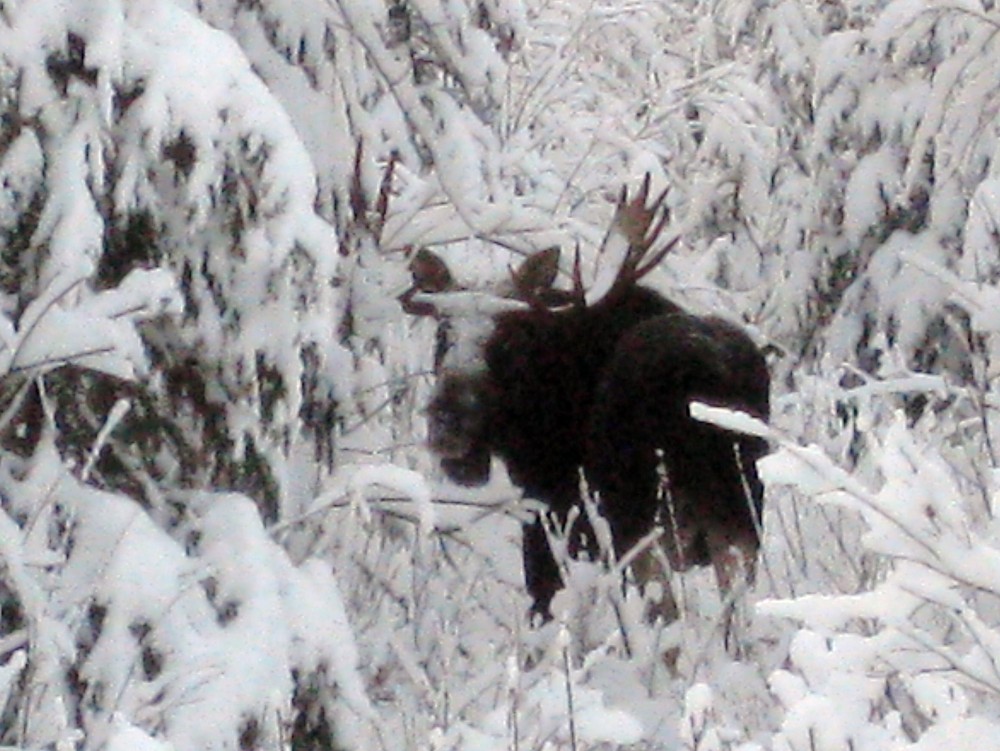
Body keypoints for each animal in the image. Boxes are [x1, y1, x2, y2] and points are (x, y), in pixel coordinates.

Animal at [402, 181, 768, 624]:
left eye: (508, 341)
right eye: (442, 335)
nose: (447, 422)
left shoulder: (553, 512)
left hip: (643, 520)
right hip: (738, 519)